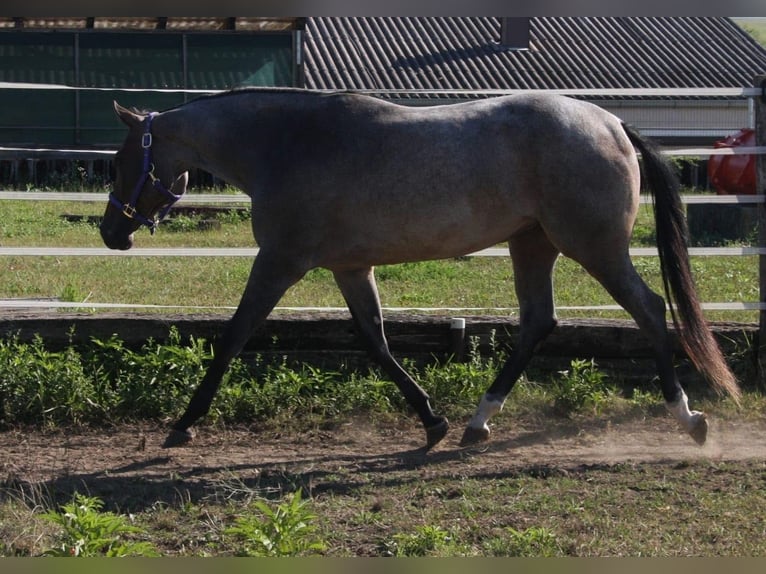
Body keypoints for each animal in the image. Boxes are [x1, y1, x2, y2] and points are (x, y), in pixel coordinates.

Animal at [99, 88, 741, 450]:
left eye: (123, 160)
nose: (111, 232)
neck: (286, 144)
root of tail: (611, 123)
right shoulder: (350, 268)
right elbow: (377, 342)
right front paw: (431, 420)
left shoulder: (279, 262)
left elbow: (234, 335)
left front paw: (183, 424)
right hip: (532, 244)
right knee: (538, 322)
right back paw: (477, 424)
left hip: (593, 245)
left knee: (649, 310)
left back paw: (687, 418)